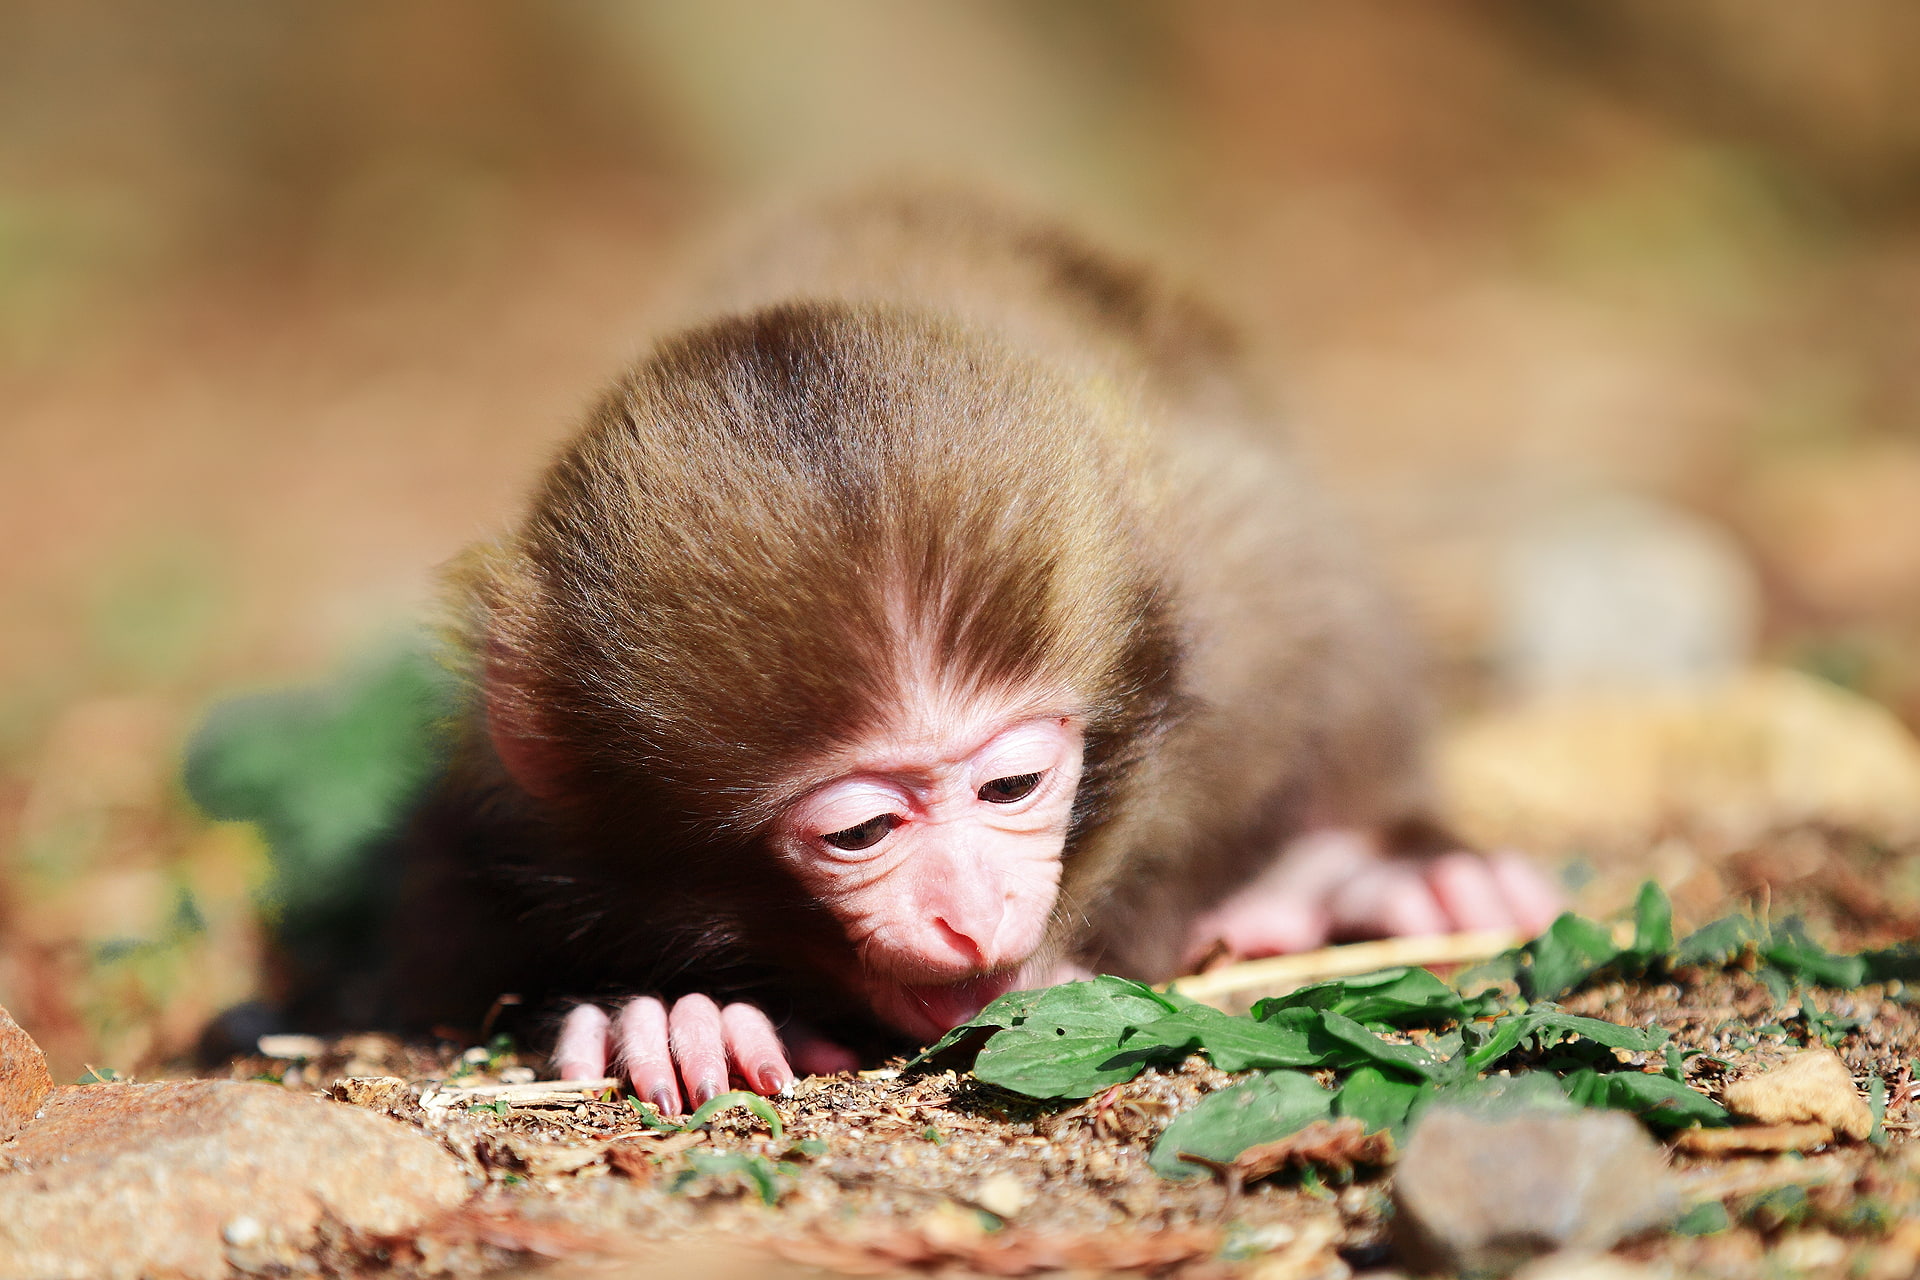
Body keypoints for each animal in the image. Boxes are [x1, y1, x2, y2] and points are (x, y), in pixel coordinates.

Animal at [388, 189, 1560, 1116]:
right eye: (861, 831)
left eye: (1011, 786)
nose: (972, 914)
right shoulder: (501, 794)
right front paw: (685, 1013)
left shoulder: (1246, 593)